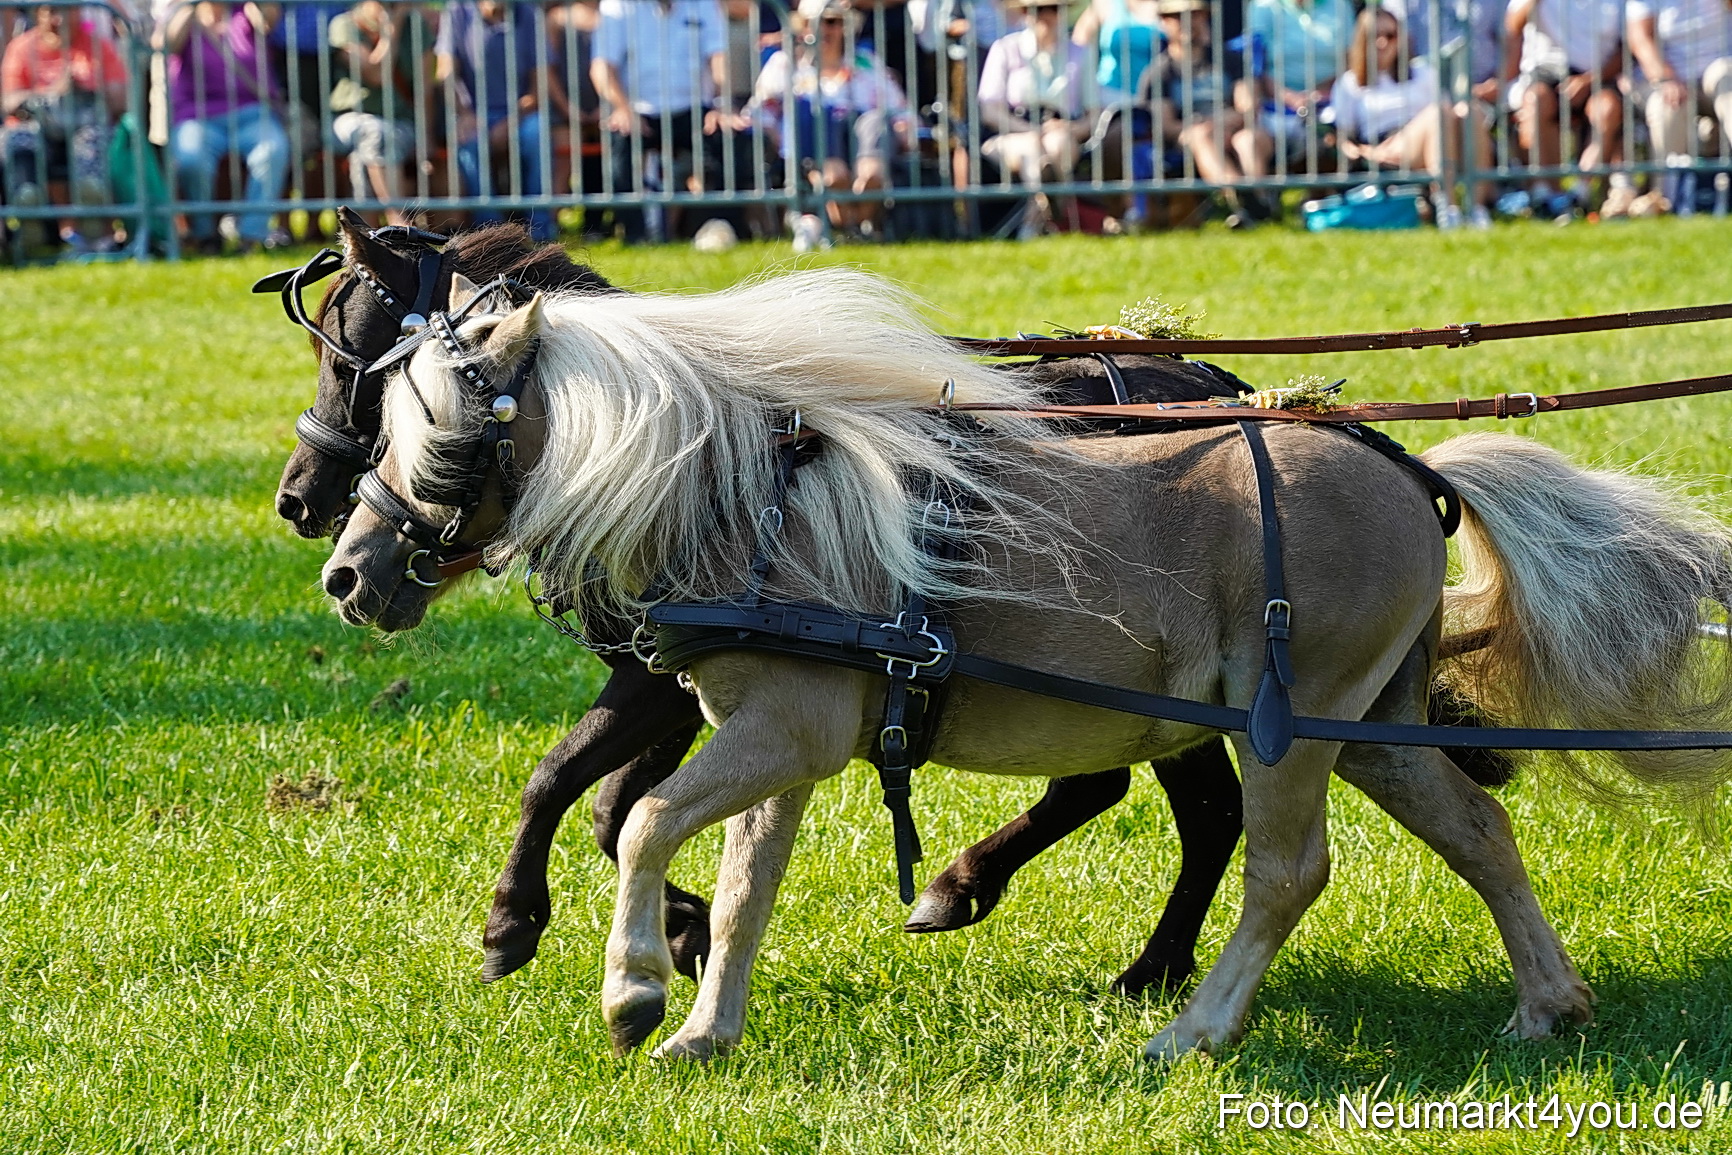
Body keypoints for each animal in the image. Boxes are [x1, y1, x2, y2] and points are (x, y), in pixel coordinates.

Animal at [271, 210, 1254, 993]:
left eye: (351, 362)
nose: (303, 510)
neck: (659, 453)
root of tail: (1221, 386)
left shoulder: (659, 681)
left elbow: (566, 784)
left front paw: (519, 923)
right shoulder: (675, 681)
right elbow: (611, 808)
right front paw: (687, 928)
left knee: (1191, 806)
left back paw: (1108, 949)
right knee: (1152, 793)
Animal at [318, 268, 1732, 1060]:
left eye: (442, 430)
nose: (345, 573)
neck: (751, 501)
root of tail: (1413, 469)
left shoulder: (779, 732)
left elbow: (649, 818)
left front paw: (630, 994)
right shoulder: (778, 739)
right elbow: (735, 879)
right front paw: (706, 1026)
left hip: (1289, 723)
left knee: (1282, 869)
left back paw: (1189, 1027)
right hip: (1365, 723)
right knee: (1474, 831)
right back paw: (1546, 1004)